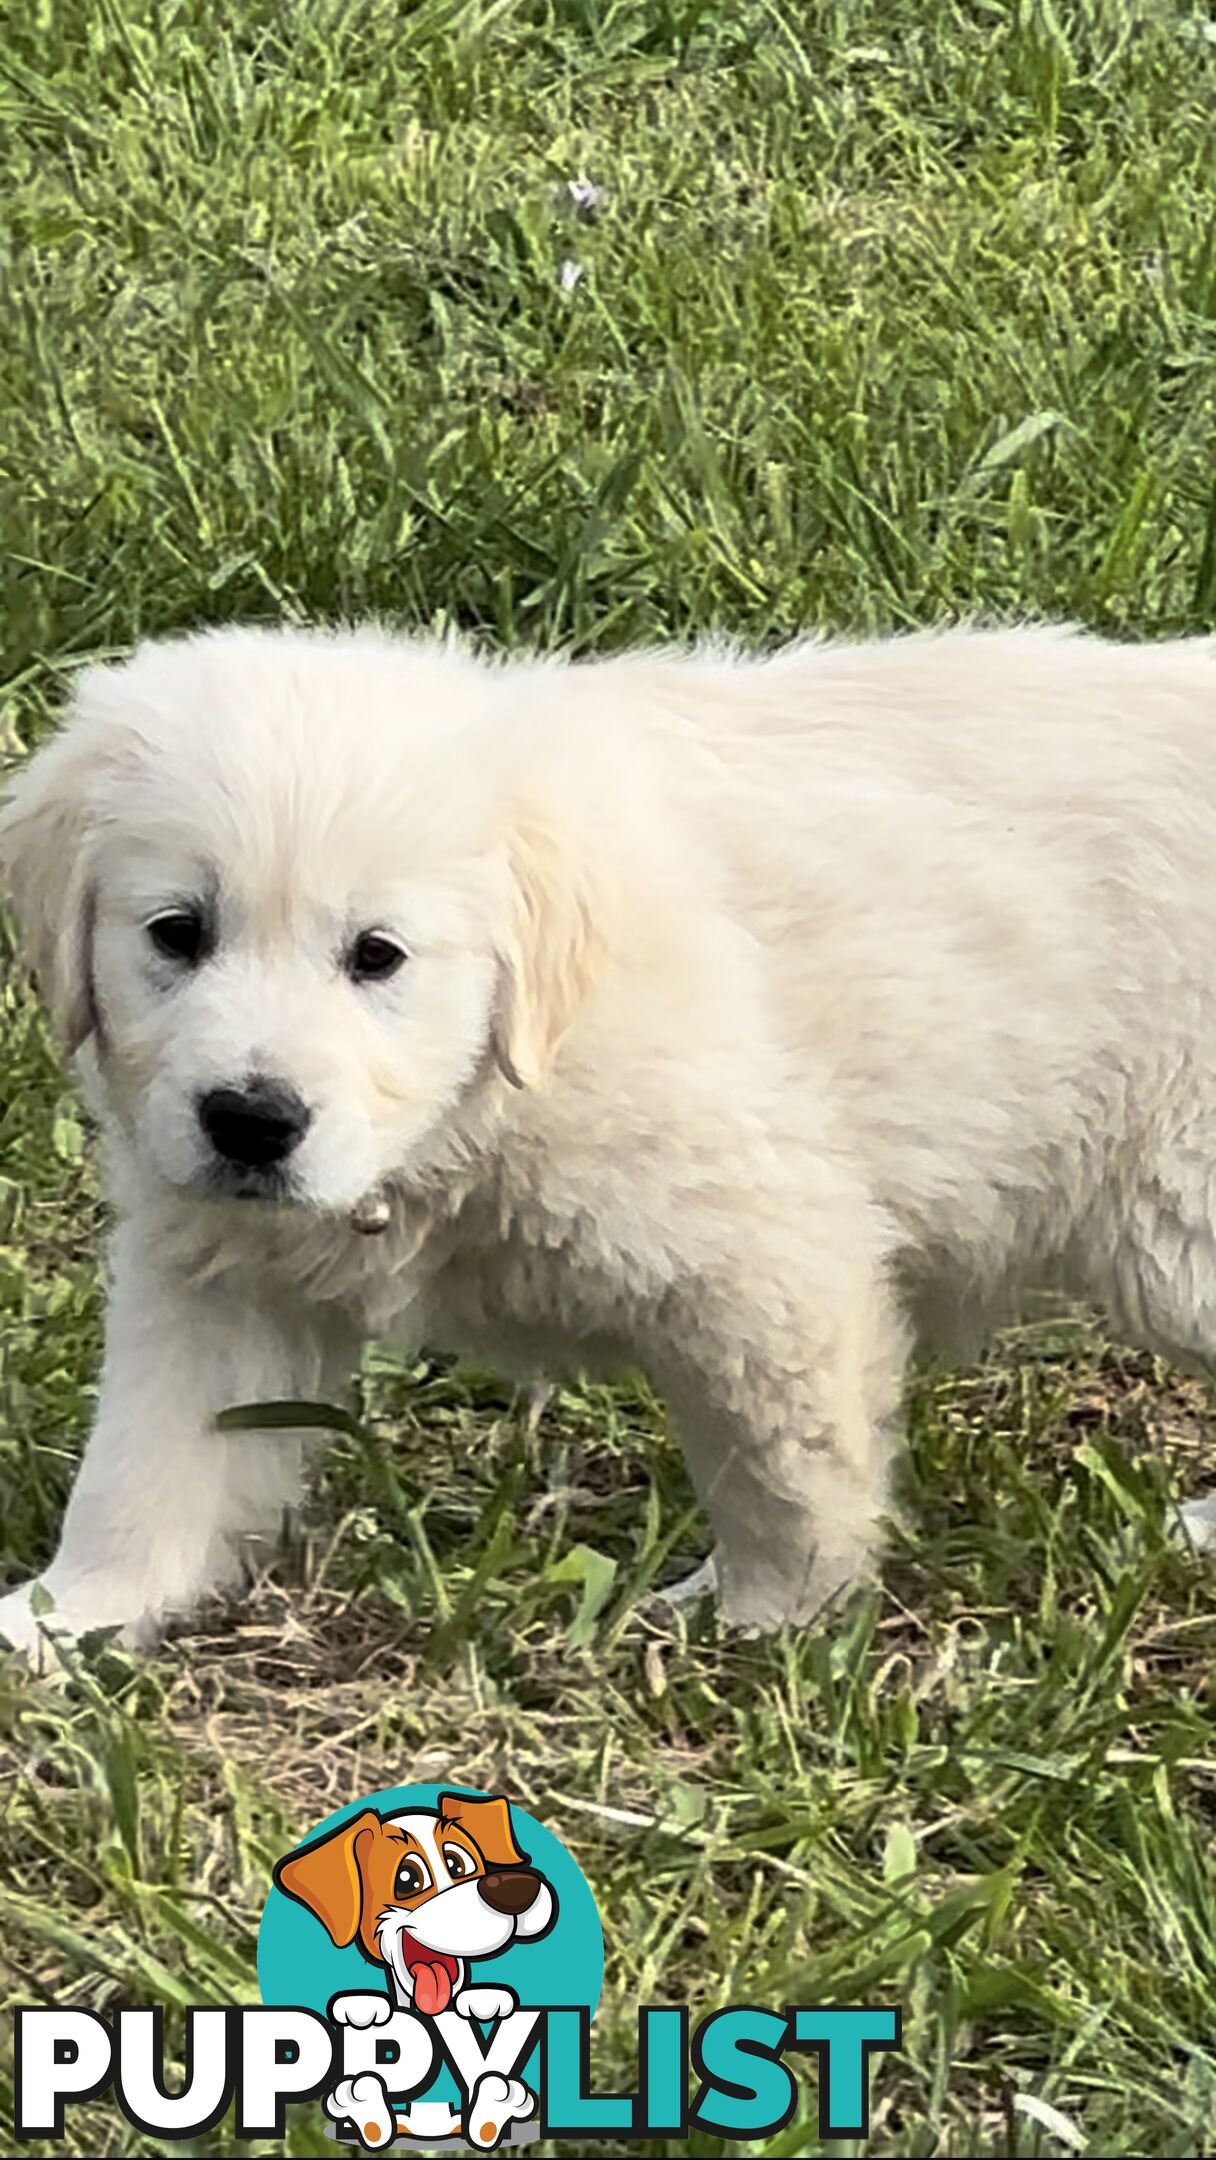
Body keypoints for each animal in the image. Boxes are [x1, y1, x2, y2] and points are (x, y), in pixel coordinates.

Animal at [2, 626, 1216, 1650]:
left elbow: (782, 1471)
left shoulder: (764, 1261)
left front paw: (763, 1621)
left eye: (378, 955)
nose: (253, 1120)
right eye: (178, 933)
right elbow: (148, 1463)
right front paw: (68, 1617)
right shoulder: (218, 1273)